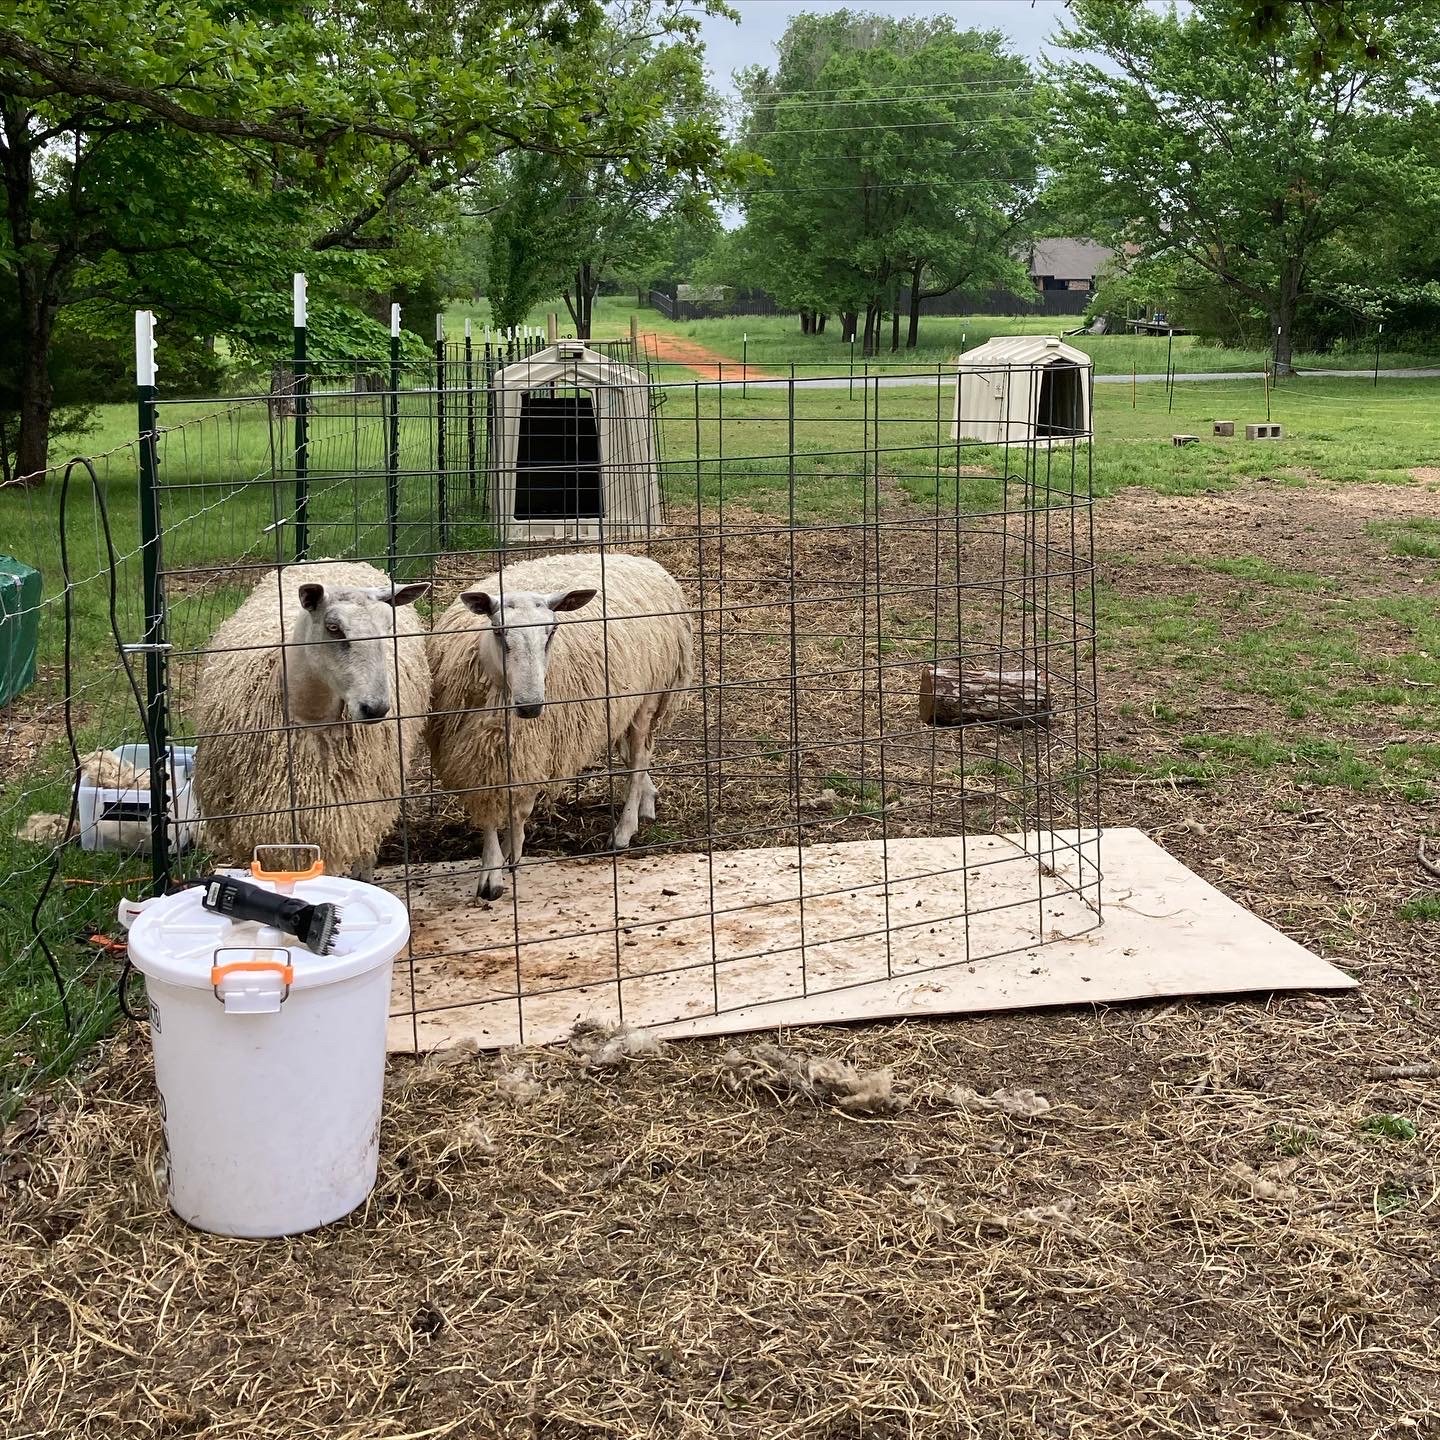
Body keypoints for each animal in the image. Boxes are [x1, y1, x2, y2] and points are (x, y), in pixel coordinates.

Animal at [192, 558, 426, 875]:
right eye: (333, 627)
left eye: (390, 627)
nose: (375, 708)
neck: (310, 716)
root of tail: (335, 561)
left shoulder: (347, 817)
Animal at [426, 550, 691, 898]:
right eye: (498, 631)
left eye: (551, 632)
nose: (531, 706)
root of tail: (640, 559)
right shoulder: (480, 757)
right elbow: (489, 814)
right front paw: (492, 869)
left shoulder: (532, 749)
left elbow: (520, 810)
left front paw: (511, 856)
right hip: (623, 701)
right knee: (631, 754)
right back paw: (647, 801)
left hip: (649, 695)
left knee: (638, 758)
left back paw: (624, 829)